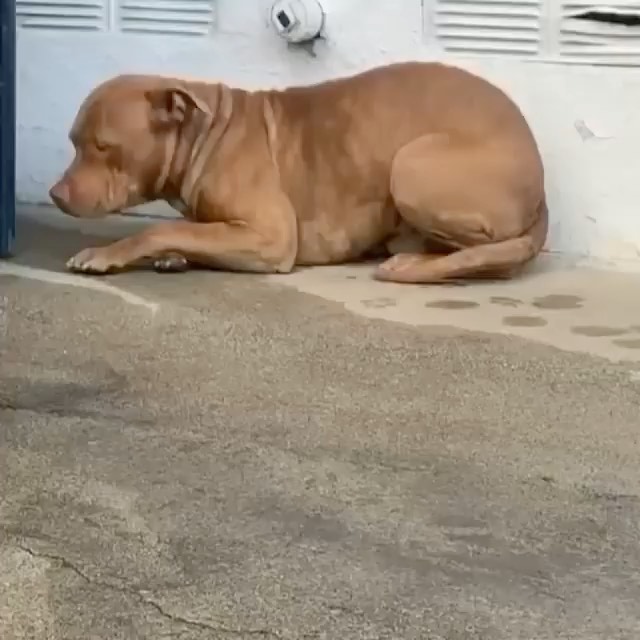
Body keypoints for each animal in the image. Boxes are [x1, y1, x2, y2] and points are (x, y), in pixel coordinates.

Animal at [50, 61, 548, 284]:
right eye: (73, 141)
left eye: (102, 147)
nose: (56, 194)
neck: (205, 135)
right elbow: (189, 232)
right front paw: (176, 255)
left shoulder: (270, 238)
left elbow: (159, 229)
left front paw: (110, 253)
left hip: (411, 165)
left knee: (486, 250)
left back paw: (415, 262)